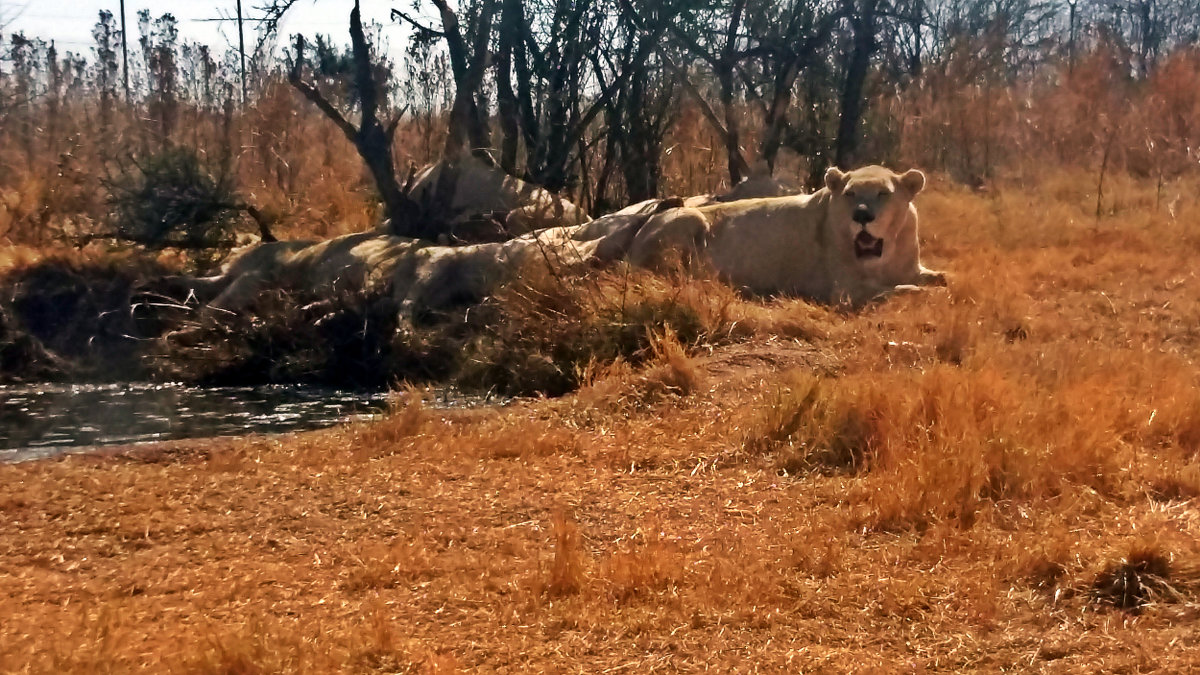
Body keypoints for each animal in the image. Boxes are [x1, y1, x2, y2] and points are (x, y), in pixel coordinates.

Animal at [628, 163, 945, 305]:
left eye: (883, 194)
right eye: (850, 194)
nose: (862, 216)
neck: (884, 256)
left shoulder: (911, 267)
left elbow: (941, 278)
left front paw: (940, 283)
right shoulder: (844, 290)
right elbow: (897, 290)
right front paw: (923, 293)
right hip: (690, 217)